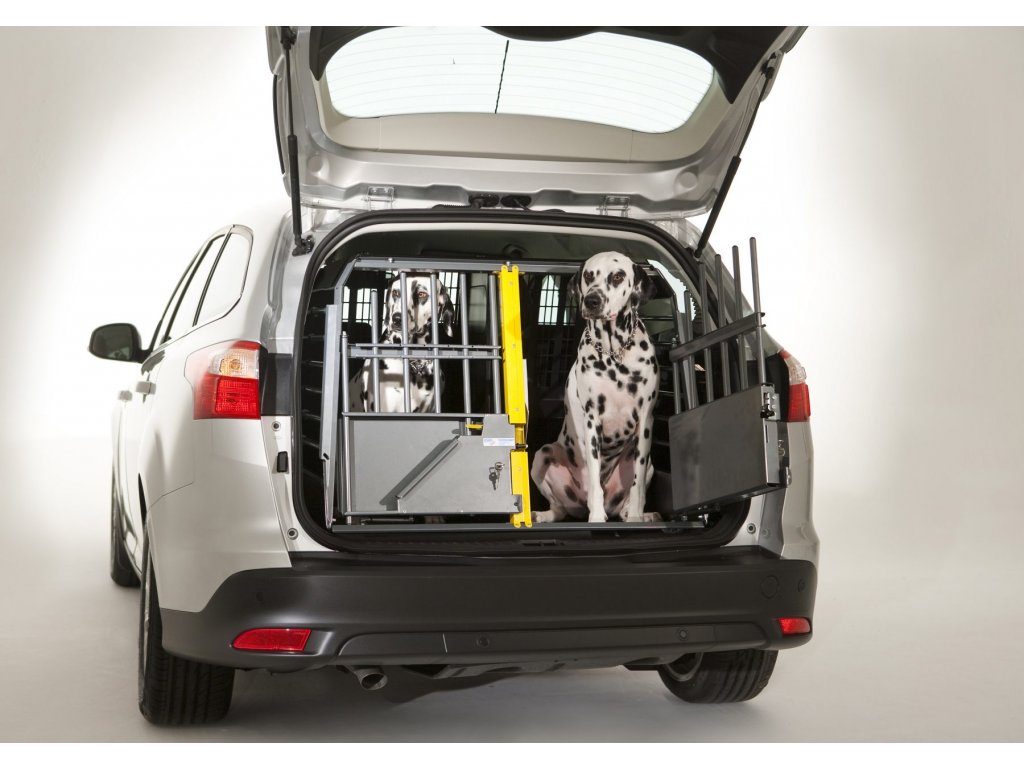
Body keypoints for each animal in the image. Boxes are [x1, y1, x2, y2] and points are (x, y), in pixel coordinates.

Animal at [531, 252, 659, 523]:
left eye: (618, 276)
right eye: (589, 275)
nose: (592, 300)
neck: (614, 353)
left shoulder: (646, 421)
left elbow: (637, 486)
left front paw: (637, 516)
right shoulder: (592, 422)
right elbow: (594, 481)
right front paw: (597, 517)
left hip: (649, 463)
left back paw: (642, 515)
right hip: (543, 455)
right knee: (560, 509)